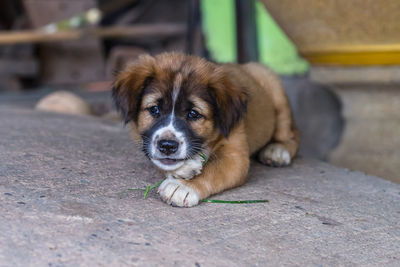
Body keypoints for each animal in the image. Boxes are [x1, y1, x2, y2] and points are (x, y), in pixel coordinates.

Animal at [111, 51, 298, 207]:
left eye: (194, 114)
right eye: (154, 109)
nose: (167, 146)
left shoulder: (235, 157)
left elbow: (212, 171)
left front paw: (182, 187)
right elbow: (159, 161)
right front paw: (185, 168)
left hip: (276, 93)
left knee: (292, 134)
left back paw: (277, 151)